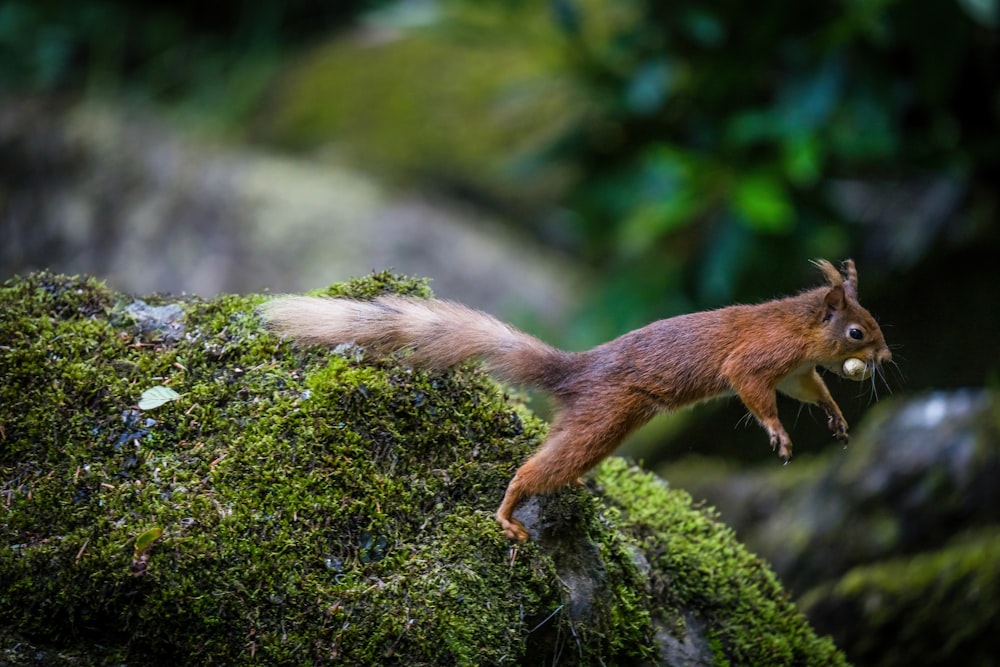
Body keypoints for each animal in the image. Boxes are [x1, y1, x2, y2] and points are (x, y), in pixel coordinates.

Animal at [260, 260, 892, 544]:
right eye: (857, 332)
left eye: (872, 321)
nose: (885, 357)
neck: (799, 325)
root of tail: (578, 372)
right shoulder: (759, 358)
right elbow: (754, 391)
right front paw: (778, 434)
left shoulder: (797, 371)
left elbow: (809, 391)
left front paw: (837, 417)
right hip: (605, 417)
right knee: (536, 469)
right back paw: (508, 513)